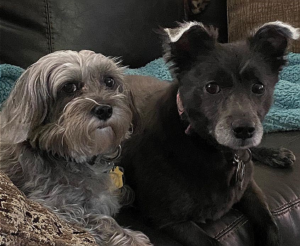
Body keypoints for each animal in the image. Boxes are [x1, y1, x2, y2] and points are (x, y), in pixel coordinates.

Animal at [0, 50, 152, 246]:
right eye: (69, 87)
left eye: (109, 81)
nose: (104, 109)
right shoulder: (53, 206)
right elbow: (101, 219)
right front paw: (134, 238)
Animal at [121, 21, 298, 246]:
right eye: (212, 87)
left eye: (259, 87)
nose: (245, 130)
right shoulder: (170, 220)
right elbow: (212, 242)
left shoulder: (249, 188)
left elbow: (271, 225)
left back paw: (276, 154)